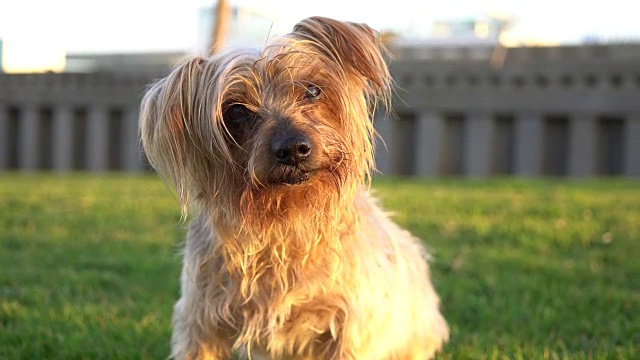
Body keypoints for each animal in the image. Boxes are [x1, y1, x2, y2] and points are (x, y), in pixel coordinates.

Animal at [140, 16, 450, 358]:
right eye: (236, 110)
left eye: (312, 90)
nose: (292, 148)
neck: (286, 221)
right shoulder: (201, 320)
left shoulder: (351, 325)